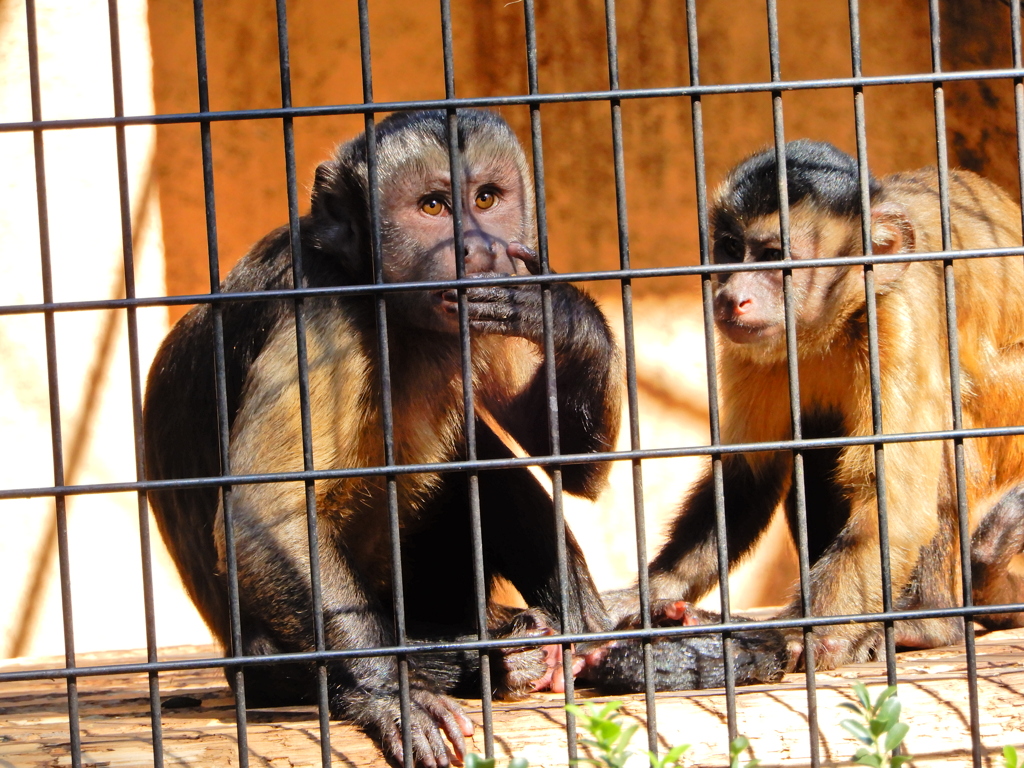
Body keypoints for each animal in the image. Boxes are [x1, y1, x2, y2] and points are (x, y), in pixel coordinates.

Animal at [142, 109, 622, 768]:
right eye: (433, 207)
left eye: (486, 199)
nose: (476, 246)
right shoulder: (319, 311)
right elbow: (262, 514)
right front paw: (393, 692)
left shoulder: (496, 292)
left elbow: (571, 464)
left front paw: (565, 316)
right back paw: (496, 654)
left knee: (478, 452)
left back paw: (575, 630)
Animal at [602, 141, 1024, 675]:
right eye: (729, 248)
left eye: (772, 257)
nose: (731, 296)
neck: (834, 323)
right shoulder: (750, 344)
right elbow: (747, 478)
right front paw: (647, 596)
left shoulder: (902, 309)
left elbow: (895, 508)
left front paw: (784, 636)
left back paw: (929, 623)